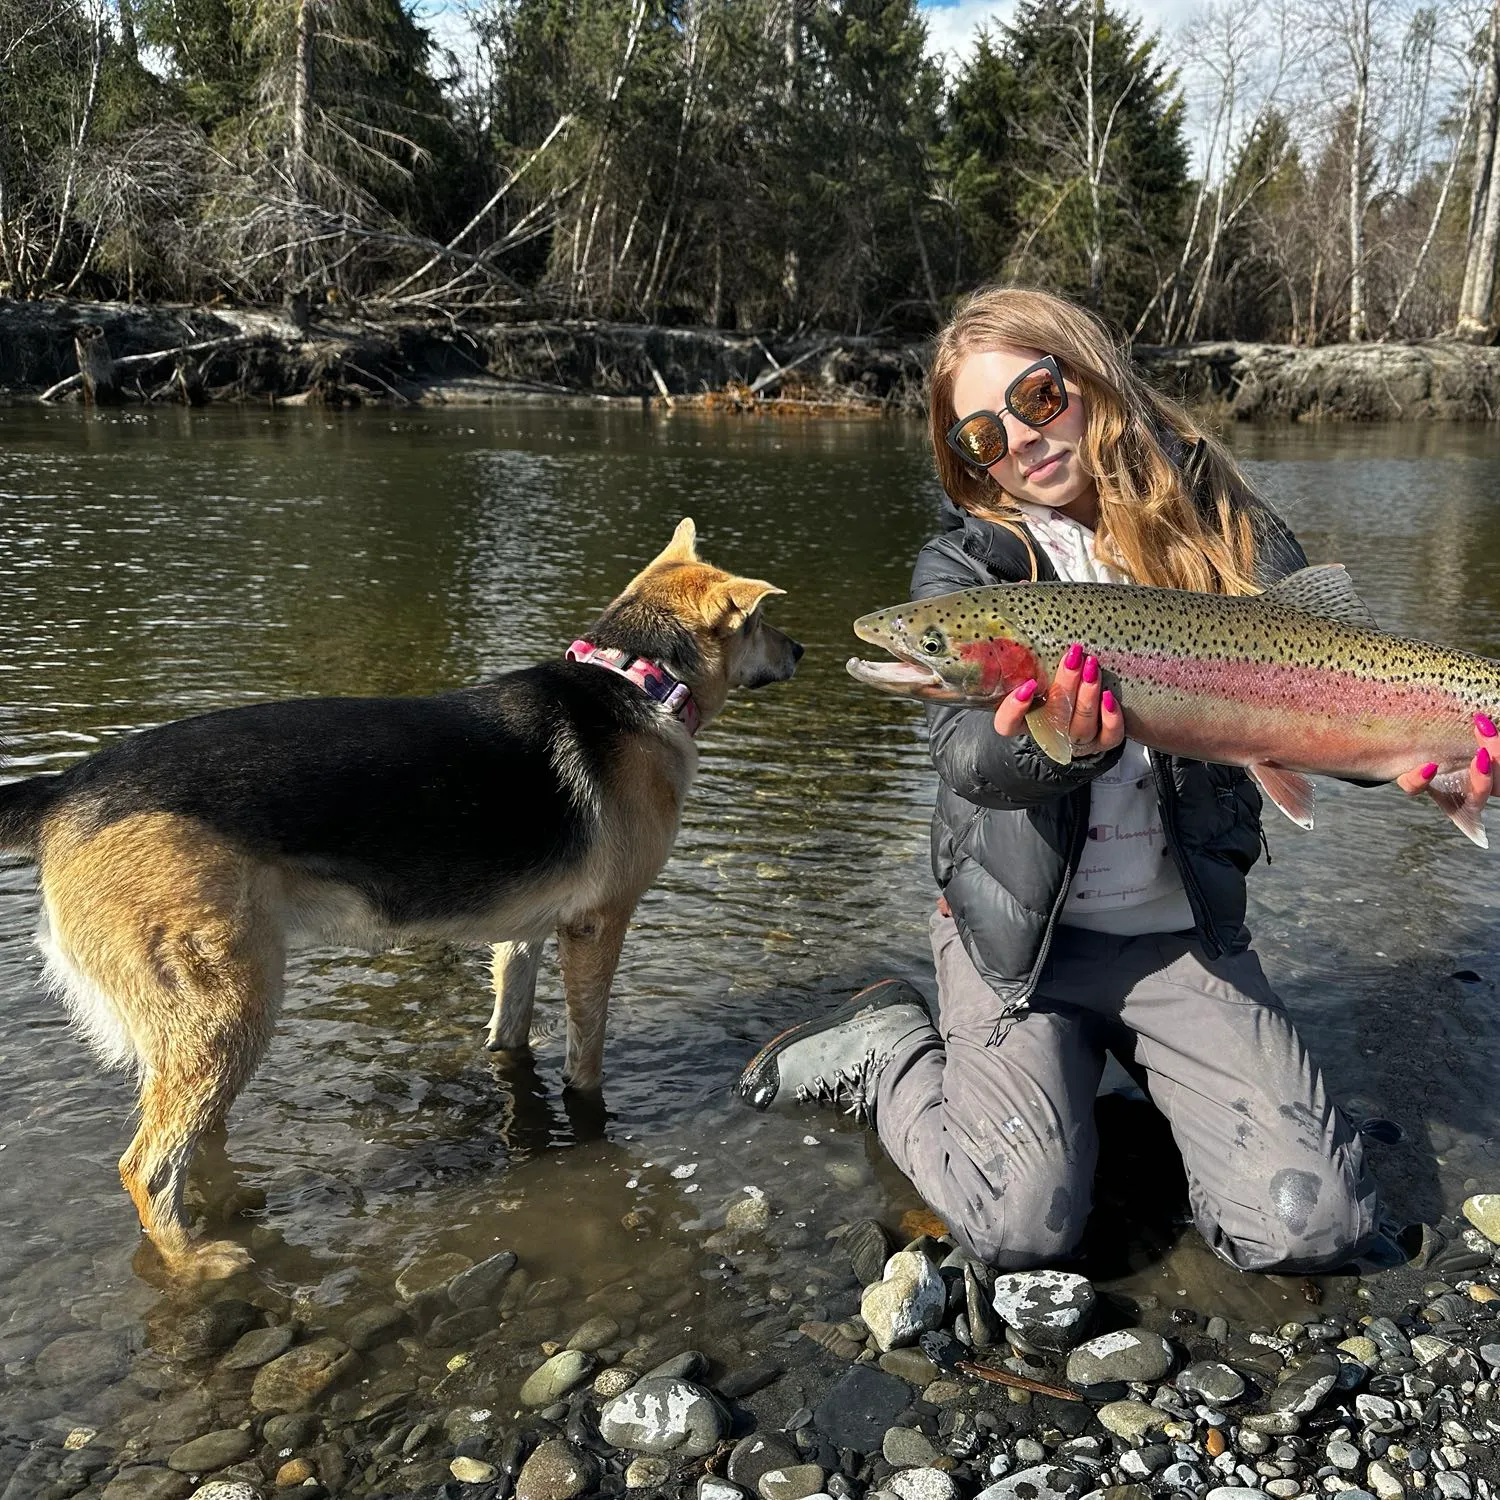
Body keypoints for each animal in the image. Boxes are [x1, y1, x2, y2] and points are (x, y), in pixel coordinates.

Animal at [0, 519, 804, 1278]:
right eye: (762, 621)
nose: (798, 651)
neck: (636, 680)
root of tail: (63, 791)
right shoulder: (596, 929)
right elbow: (586, 1054)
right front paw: (589, 1118)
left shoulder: (523, 932)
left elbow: (509, 1024)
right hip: (227, 1012)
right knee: (146, 1166)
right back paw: (197, 1263)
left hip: (207, 1028)